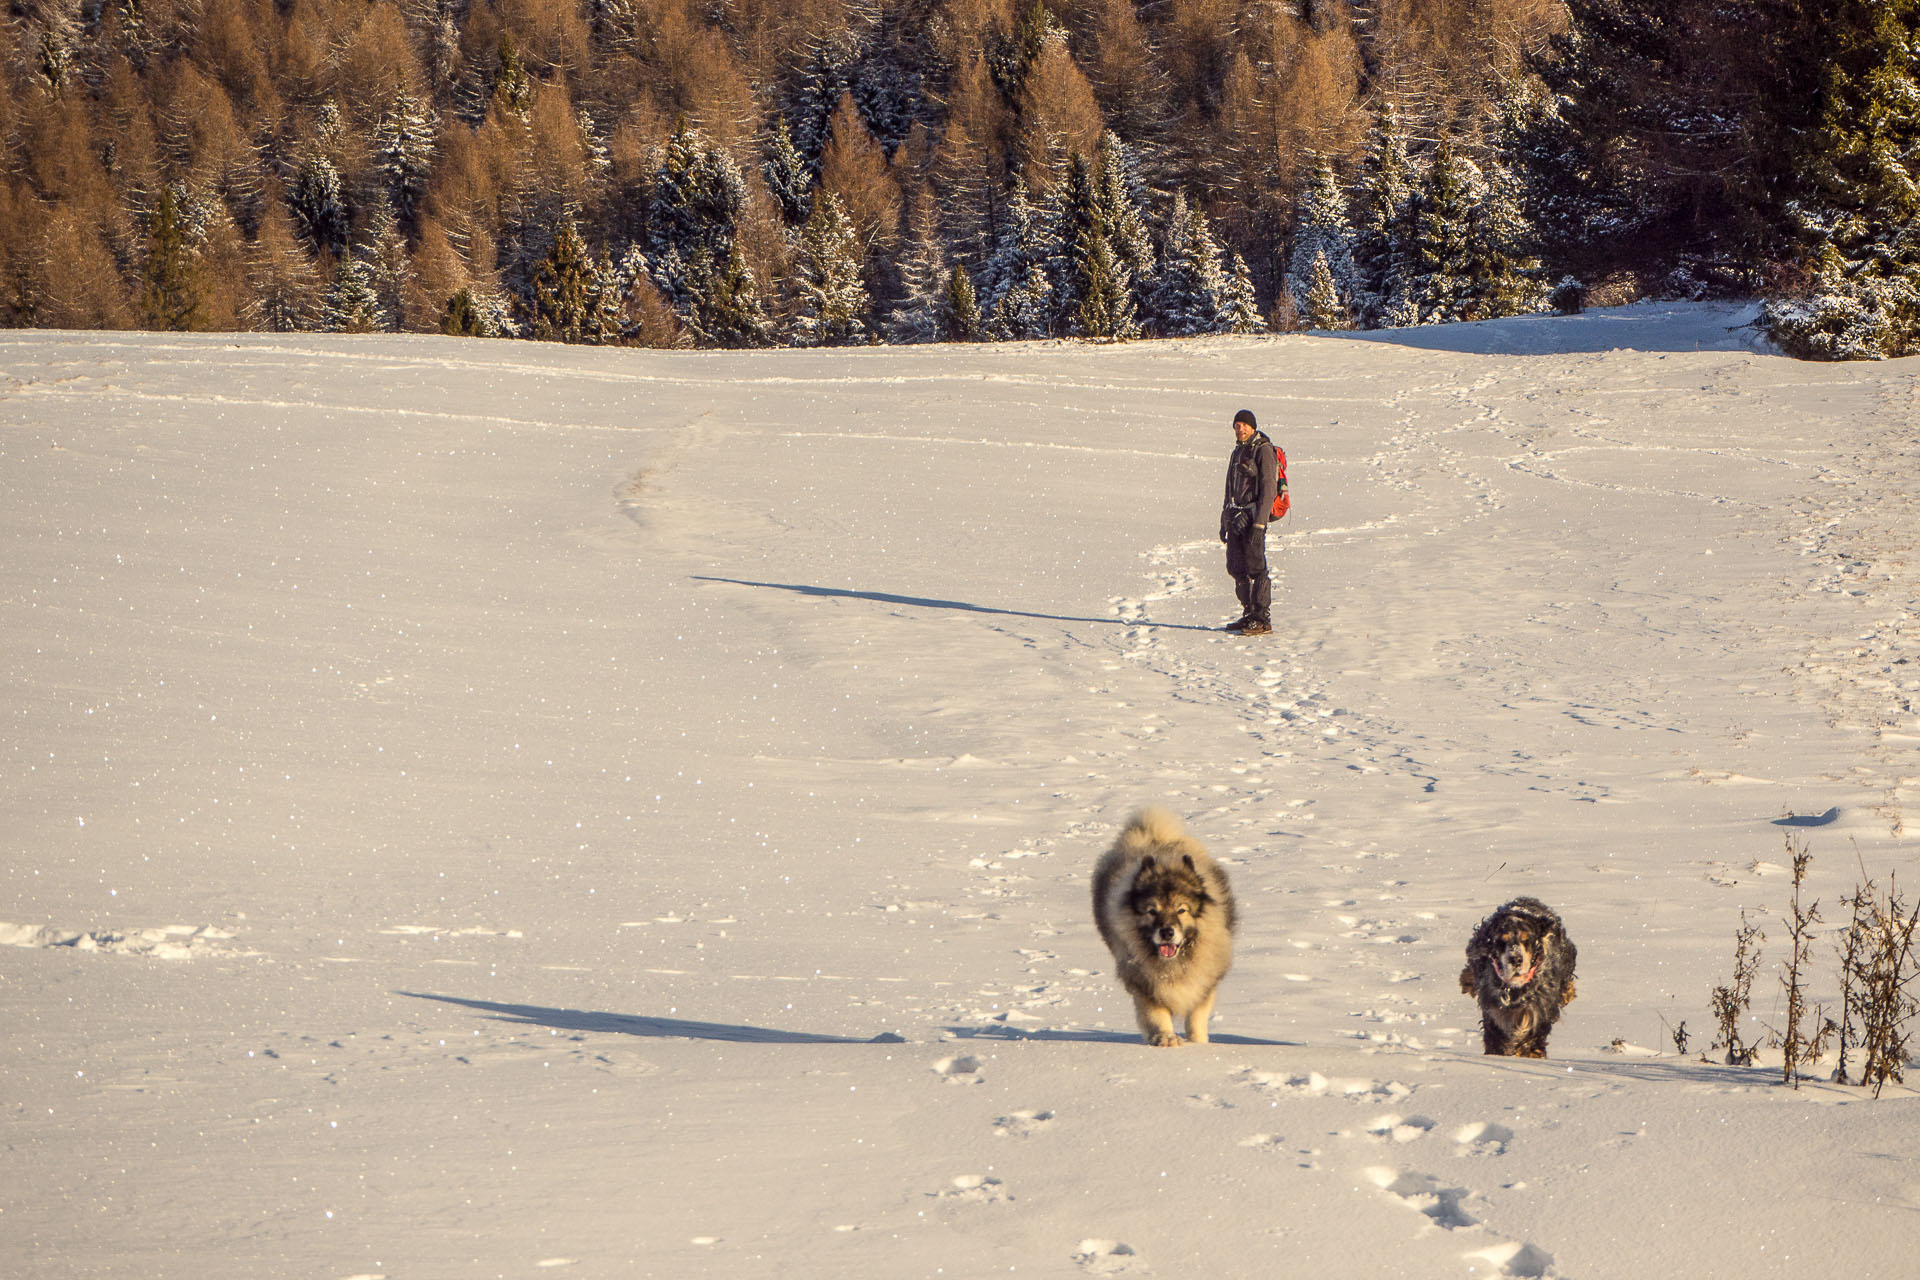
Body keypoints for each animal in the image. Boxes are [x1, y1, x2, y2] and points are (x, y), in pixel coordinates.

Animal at [1459, 898, 1582, 1059]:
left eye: (1527, 940)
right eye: (1501, 941)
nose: (1516, 959)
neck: (1515, 989)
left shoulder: (1538, 1010)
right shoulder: (1494, 1011)